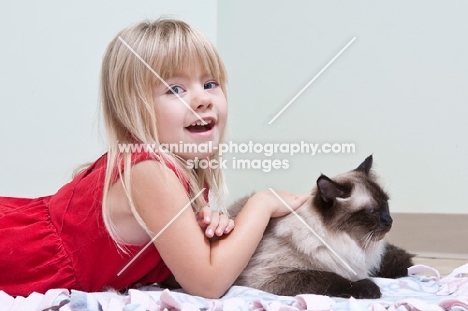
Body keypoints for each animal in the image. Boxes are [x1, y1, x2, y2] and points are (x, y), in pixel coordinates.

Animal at [230, 156, 414, 300]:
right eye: (371, 212)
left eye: (386, 204)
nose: (389, 221)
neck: (350, 241)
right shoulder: (271, 276)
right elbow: (330, 278)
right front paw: (370, 288)